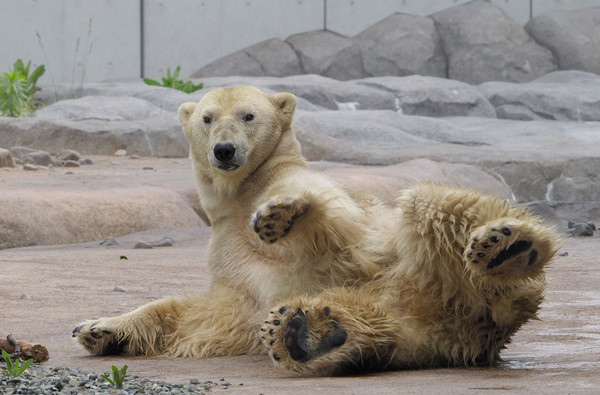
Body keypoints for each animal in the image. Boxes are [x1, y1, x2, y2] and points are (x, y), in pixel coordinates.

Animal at [72, 85, 560, 376]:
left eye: (248, 116)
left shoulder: (334, 210)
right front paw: (99, 328)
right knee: (373, 324)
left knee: (432, 205)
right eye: (207, 118)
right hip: (402, 314)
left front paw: (281, 213)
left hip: (420, 260)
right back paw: (309, 334)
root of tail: (475, 327)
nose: (224, 150)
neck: (240, 196)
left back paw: (508, 246)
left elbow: (336, 219)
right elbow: (209, 313)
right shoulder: (230, 257)